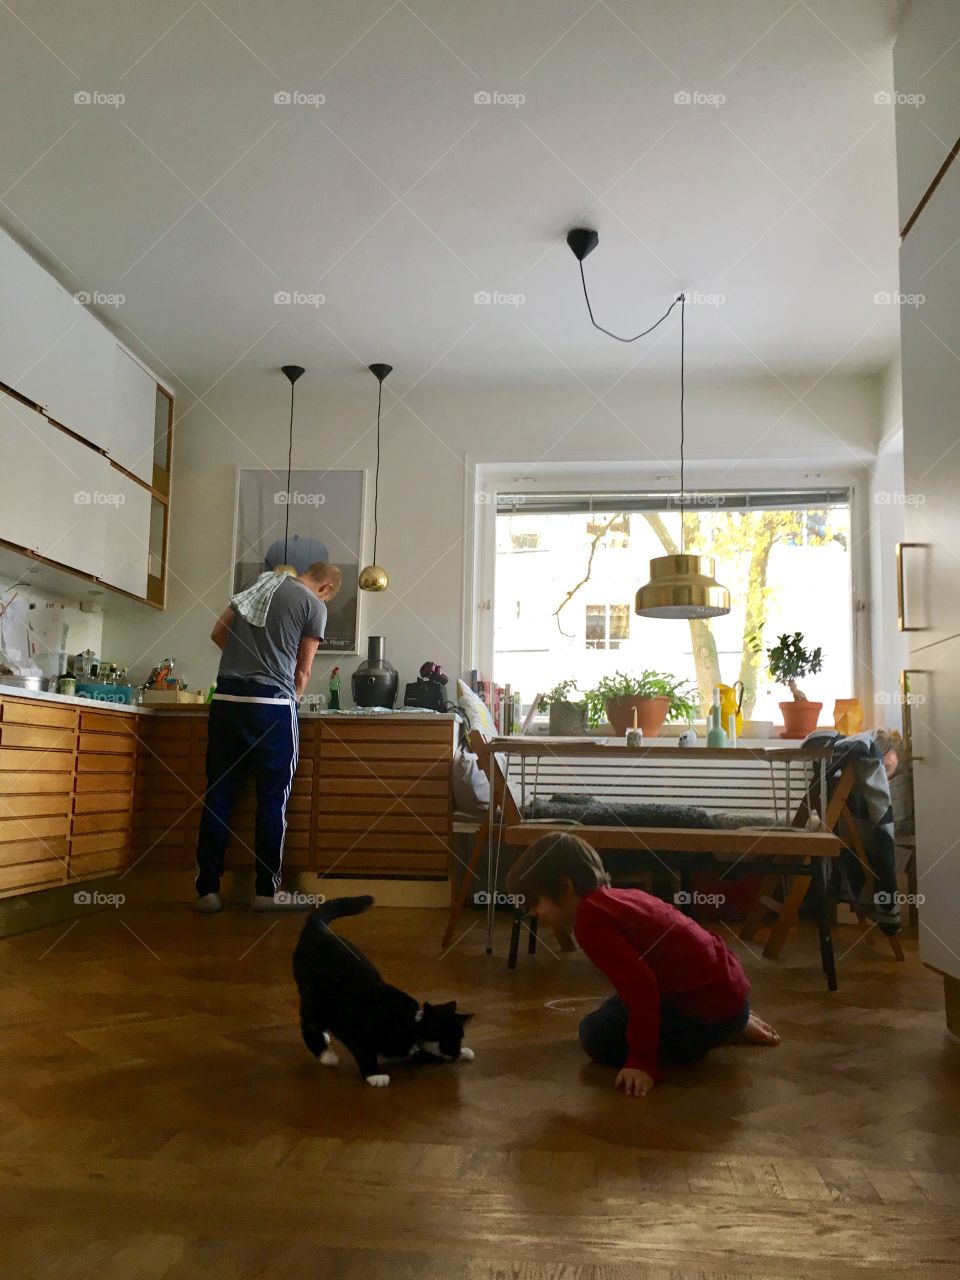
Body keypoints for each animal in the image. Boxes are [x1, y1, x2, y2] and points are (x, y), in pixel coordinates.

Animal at [291, 896, 476, 1085]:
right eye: (451, 1039)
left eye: (460, 1038)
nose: (457, 1052)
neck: (411, 1023)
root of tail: (317, 931)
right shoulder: (359, 1033)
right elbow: (365, 1053)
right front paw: (375, 1076)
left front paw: (466, 1051)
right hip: (314, 1001)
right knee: (309, 1027)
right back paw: (326, 1055)